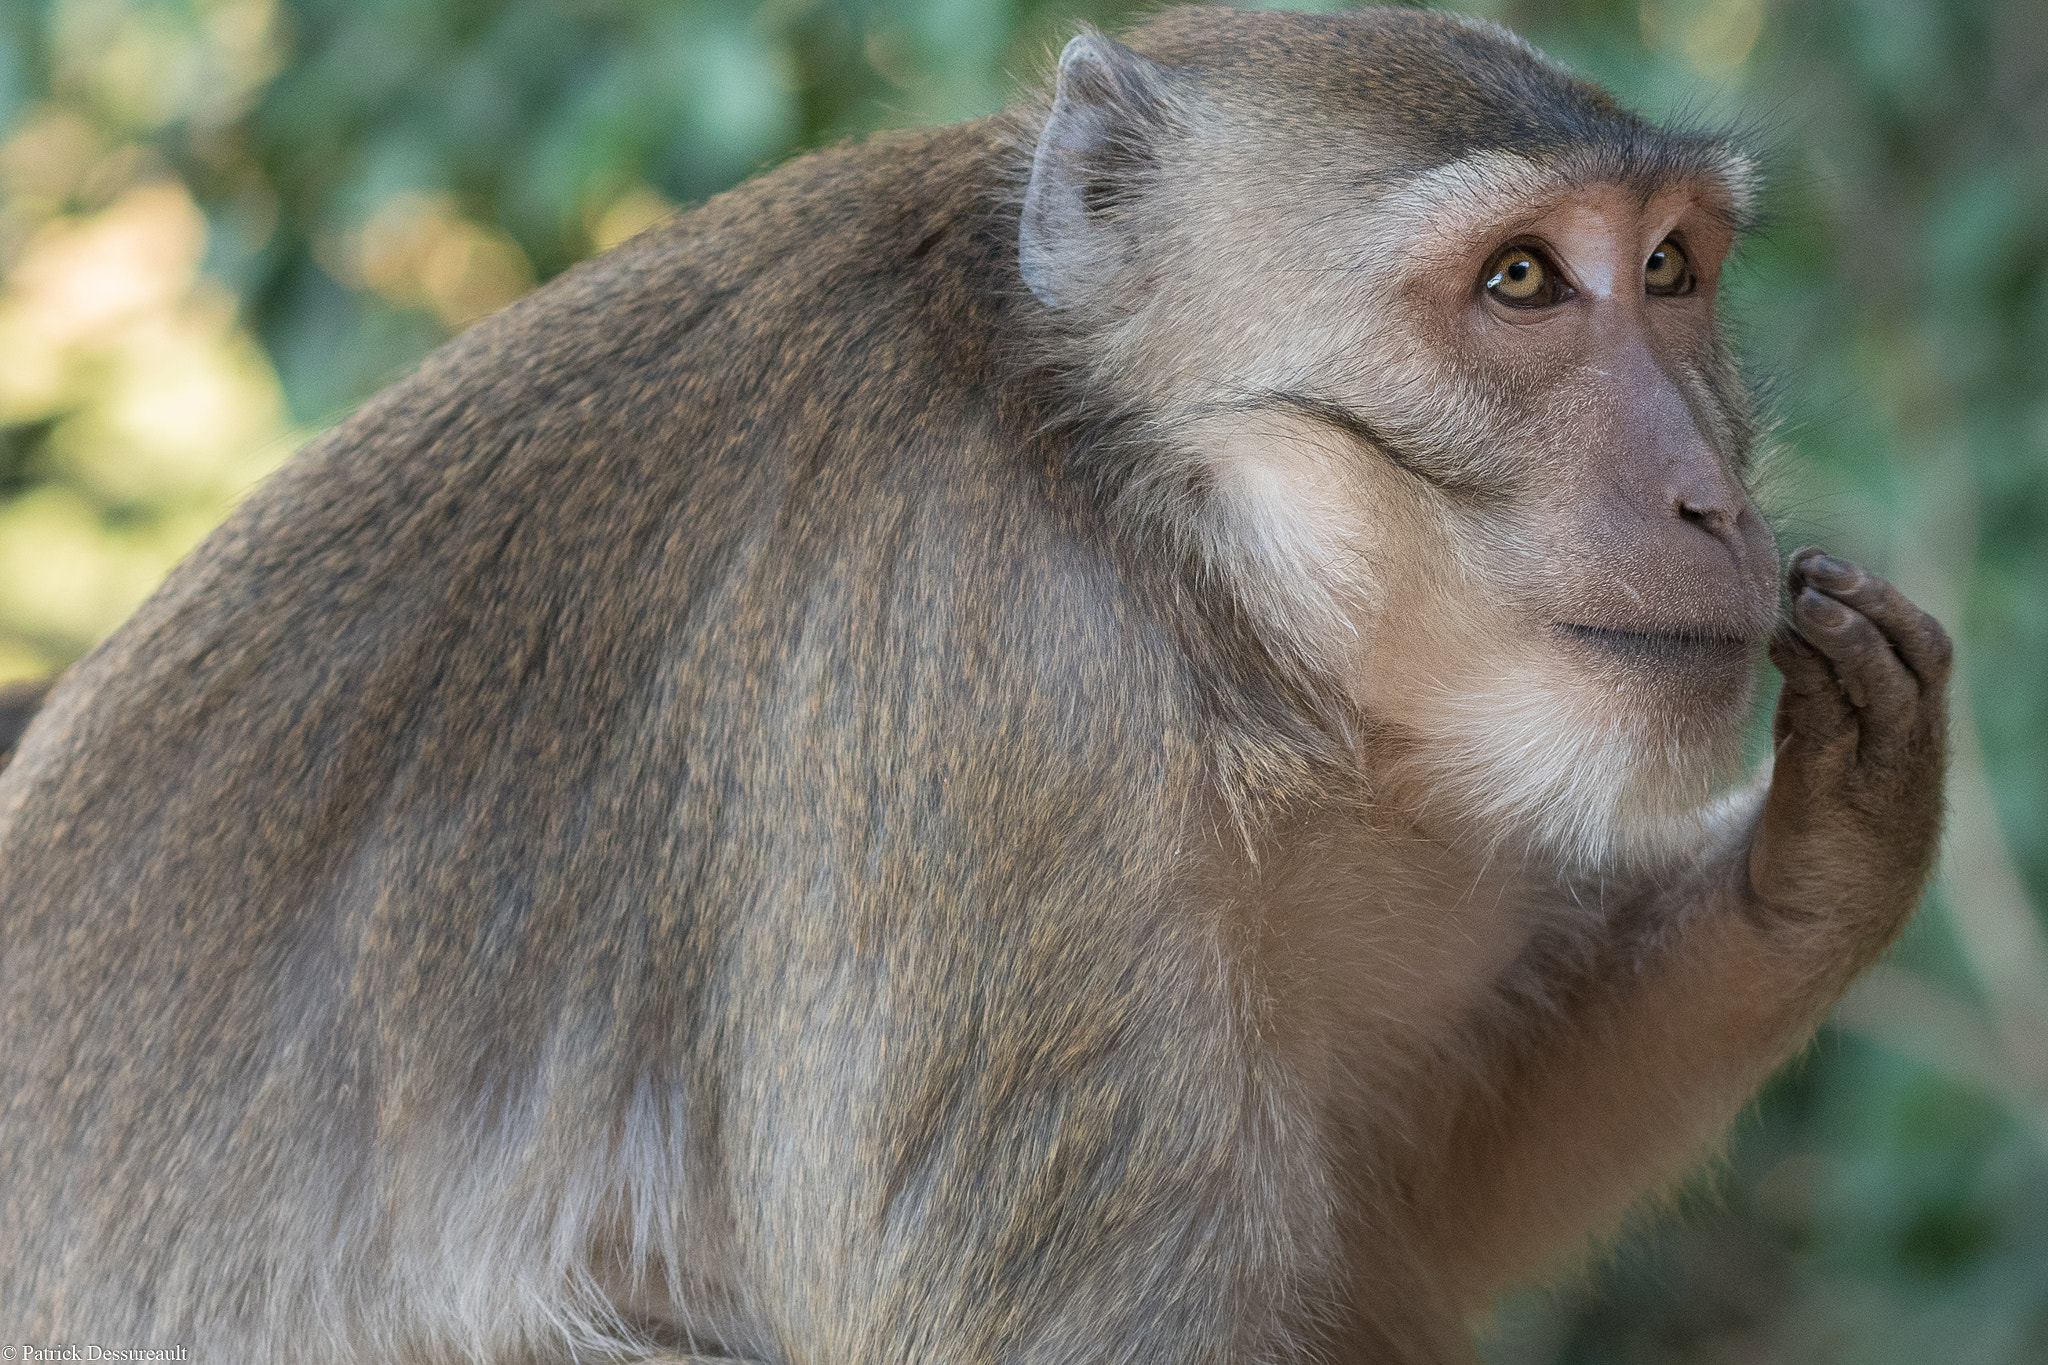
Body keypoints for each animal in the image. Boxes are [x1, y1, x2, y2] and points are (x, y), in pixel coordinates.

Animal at [0, 10, 1949, 1365]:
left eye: (1672, 271)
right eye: (1524, 280)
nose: (1708, 496)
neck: (1184, 556)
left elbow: (1410, 1204)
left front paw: (1821, 856)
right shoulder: (996, 722)